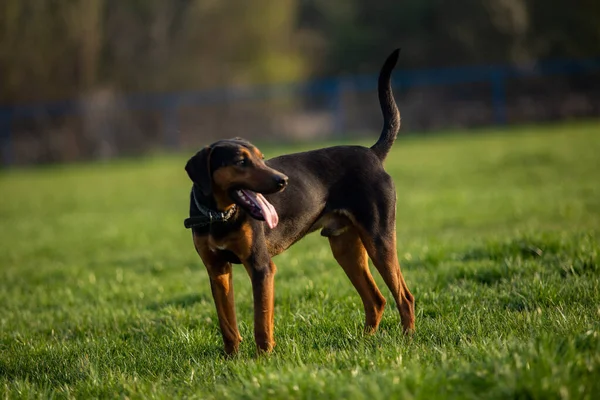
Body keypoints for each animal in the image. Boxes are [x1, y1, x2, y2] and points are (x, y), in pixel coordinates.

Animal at [185, 49, 414, 354]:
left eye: (261, 157)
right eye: (241, 162)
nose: (282, 181)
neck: (220, 216)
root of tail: (373, 154)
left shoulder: (261, 267)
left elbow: (261, 321)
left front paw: (263, 359)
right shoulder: (217, 270)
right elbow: (228, 325)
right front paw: (231, 359)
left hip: (379, 240)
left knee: (404, 297)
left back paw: (408, 340)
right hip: (346, 248)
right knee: (376, 300)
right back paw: (363, 342)